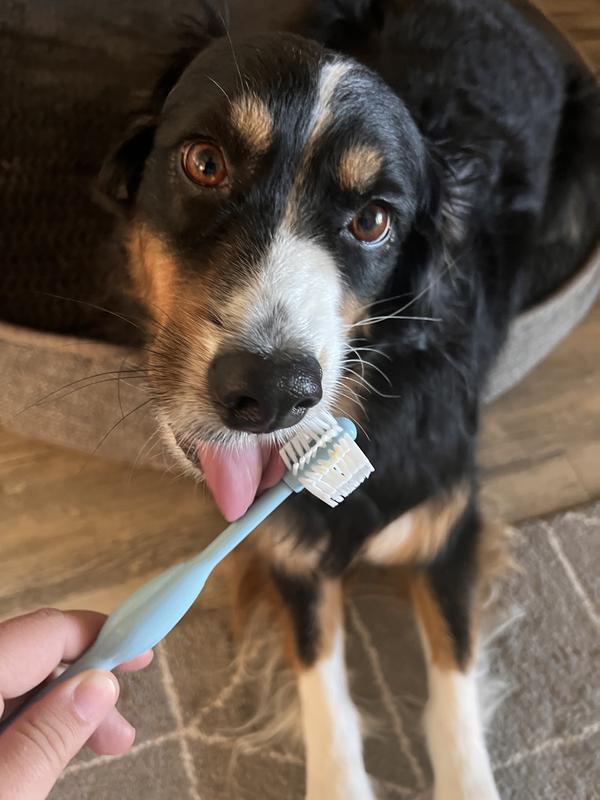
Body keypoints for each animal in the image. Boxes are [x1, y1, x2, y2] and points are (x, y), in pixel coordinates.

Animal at [98, 3, 600, 796]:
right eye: (204, 163)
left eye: (372, 221)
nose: (271, 394)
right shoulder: (290, 548)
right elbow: (327, 698)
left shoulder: (447, 521)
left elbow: (452, 691)